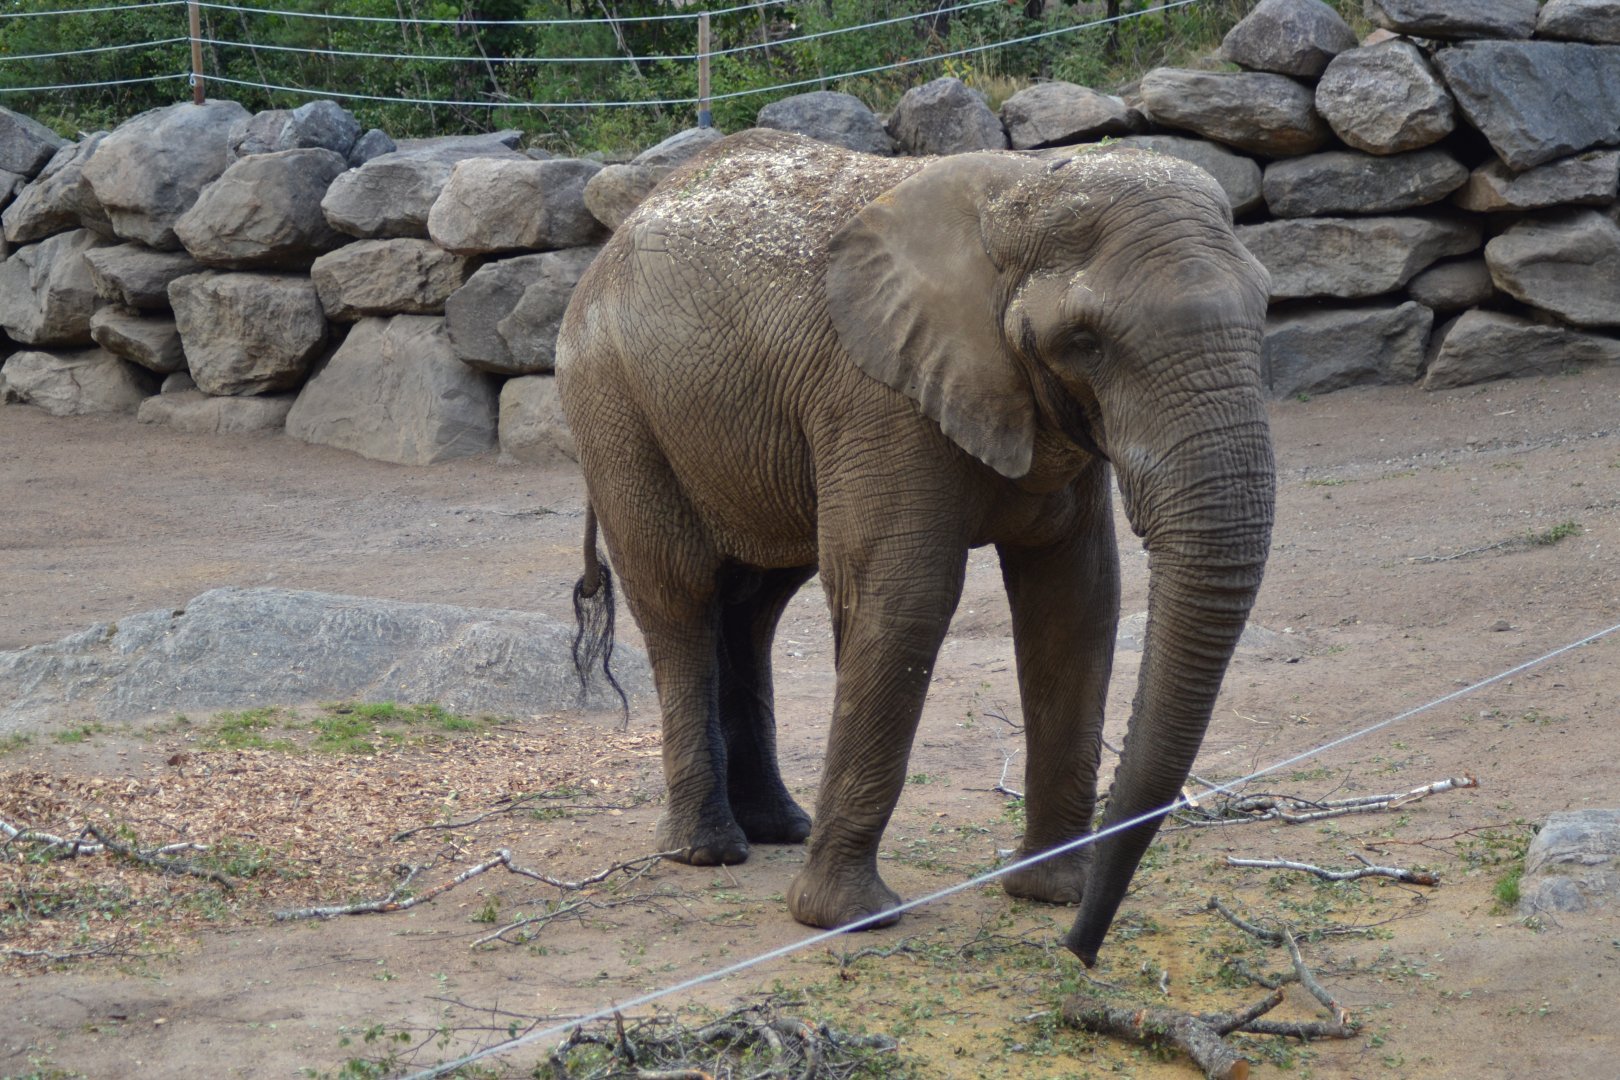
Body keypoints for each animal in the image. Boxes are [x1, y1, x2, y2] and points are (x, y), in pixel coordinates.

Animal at [556, 128, 1274, 966]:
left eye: (1266, 307)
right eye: (1084, 341)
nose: (1080, 951)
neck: (1021, 193)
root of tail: (610, 242)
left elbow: (1078, 602)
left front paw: (1050, 892)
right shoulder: (877, 397)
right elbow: (906, 597)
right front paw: (845, 919)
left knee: (755, 606)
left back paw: (779, 829)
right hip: (614, 406)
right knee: (681, 599)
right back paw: (707, 851)